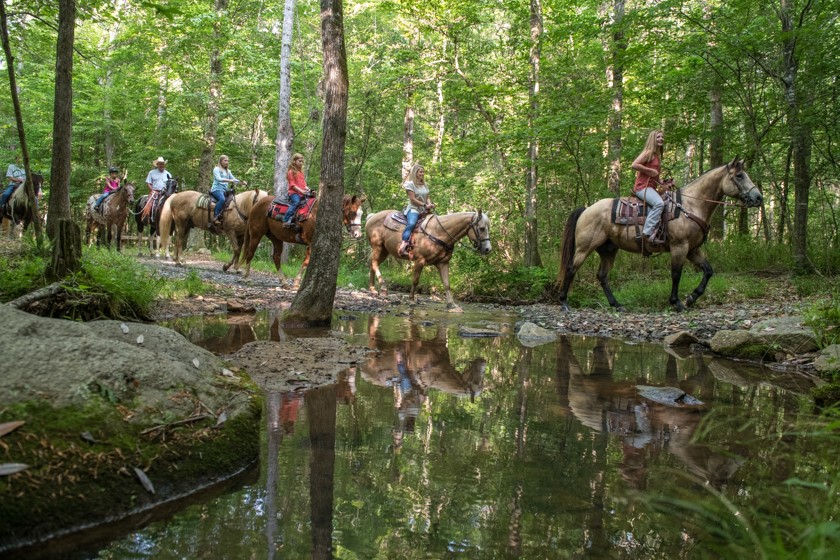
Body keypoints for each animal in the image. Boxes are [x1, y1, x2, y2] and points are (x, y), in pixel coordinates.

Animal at [556, 158, 760, 312]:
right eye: (739, 176)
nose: (758, 198)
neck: (690, 207)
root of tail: (586, 209)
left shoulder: (693, 249)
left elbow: (708, 271)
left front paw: (691, 298)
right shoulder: (680, 247)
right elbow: (676, 274)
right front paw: (677, 302)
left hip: (608, 250)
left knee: (602, 276)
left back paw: (617, 305)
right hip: (585, 247)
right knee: (571, 269)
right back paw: (564, 302)